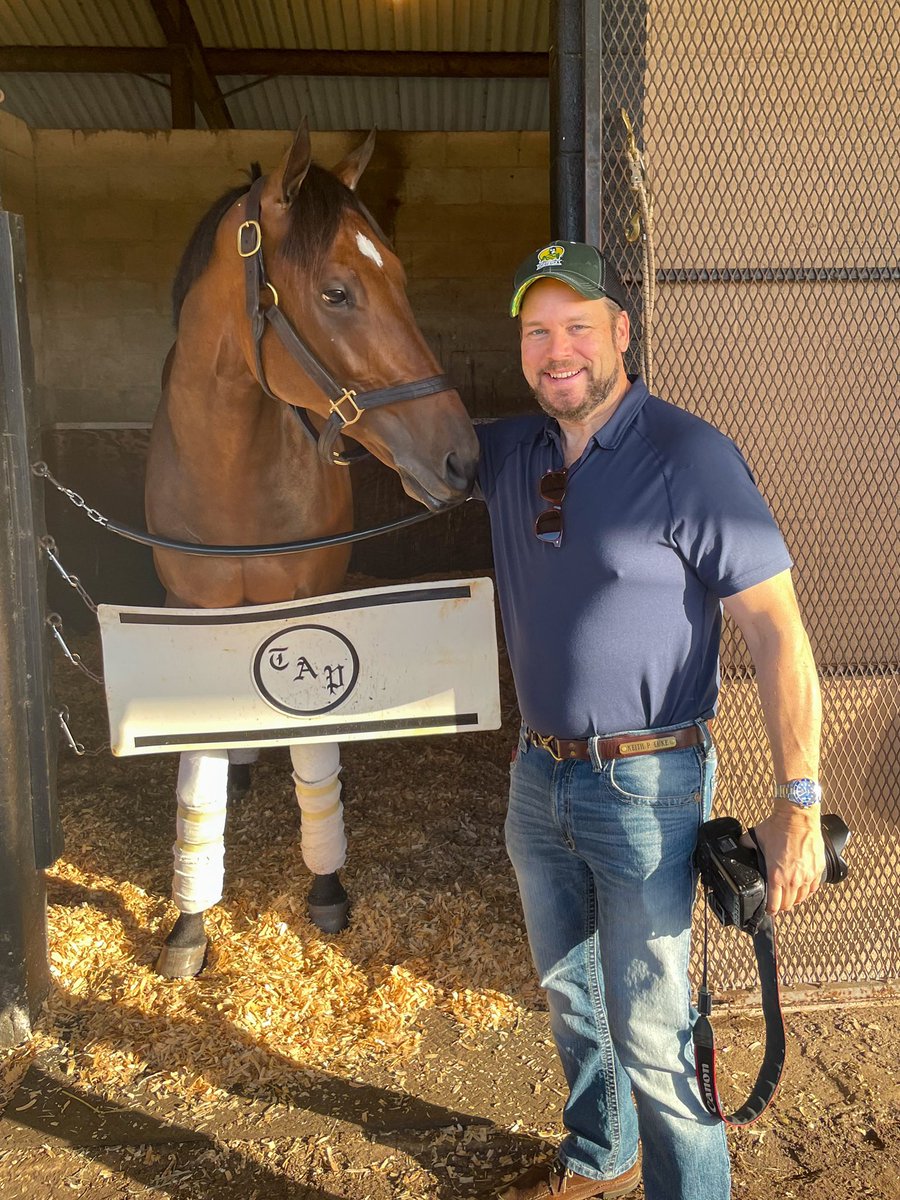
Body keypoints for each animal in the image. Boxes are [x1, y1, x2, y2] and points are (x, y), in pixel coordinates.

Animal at [143, 126, 480, 979]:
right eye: (336, 293)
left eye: (398, 275)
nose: (463, 459)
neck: (231, 471)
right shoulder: (188, 613)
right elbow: (197, 779)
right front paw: (188, 925)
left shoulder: (307, 602)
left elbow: (314, 759)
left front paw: (327, 885)